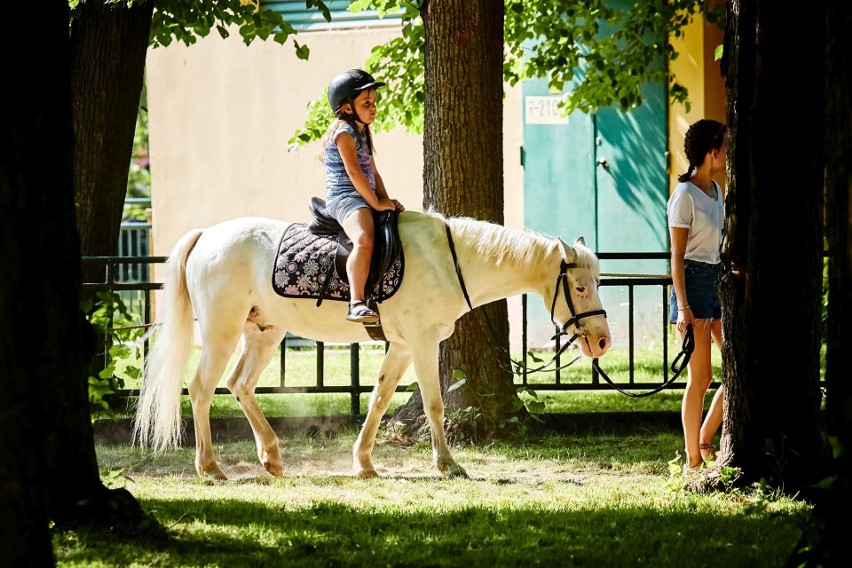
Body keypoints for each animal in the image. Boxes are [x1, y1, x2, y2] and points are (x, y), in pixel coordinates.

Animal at [133, 210, 612, 480]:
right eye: (581, 287)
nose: (603, 340)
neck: (447, 260)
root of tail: (207, 235)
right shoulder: (421, 344)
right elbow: (434, 404)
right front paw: (448, 464)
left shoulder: (400, 347)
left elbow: (379, 402)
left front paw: (363, 462)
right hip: (222, 331)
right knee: (201, 389)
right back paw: (211, 467)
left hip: (263, 333)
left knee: (240, 385)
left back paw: (271, 456)